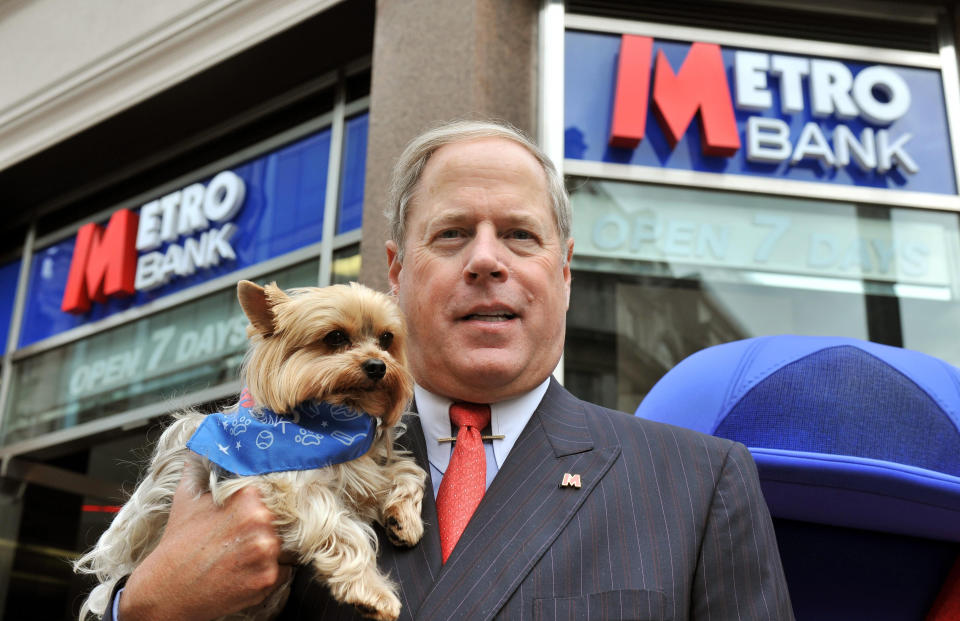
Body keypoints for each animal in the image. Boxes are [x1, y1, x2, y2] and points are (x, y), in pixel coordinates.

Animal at [80, 280, 426, 620]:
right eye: (336, 337)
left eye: (386, 339)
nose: (378, 366)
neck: (330, 422)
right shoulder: (281, 481)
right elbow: (338, 524)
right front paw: (372, 592)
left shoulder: (358, 465)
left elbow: (408, 471)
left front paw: (403, 519)